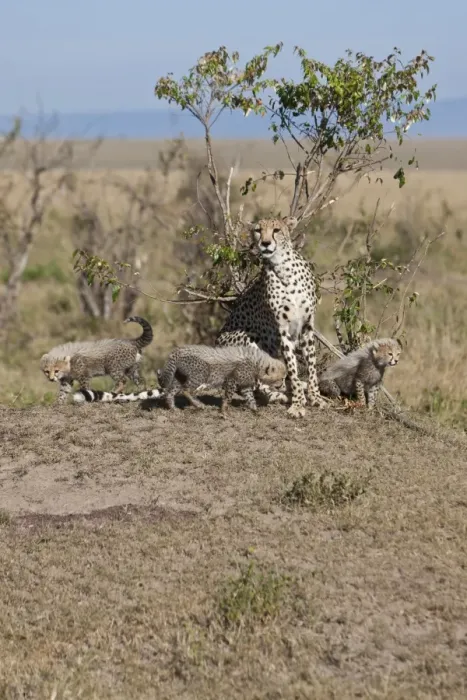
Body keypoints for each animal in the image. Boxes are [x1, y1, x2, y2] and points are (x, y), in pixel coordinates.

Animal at [216, 216, 326, 418]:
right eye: (258, 230)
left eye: (276, 230)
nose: (265, 243)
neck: (285, 269)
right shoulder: (283, 330)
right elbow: (293, 368)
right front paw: (297, 404)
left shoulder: (307, 326)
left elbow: (312, 366)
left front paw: (316, 398)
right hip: (248, 337)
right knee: (258, 384)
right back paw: (280, 395)